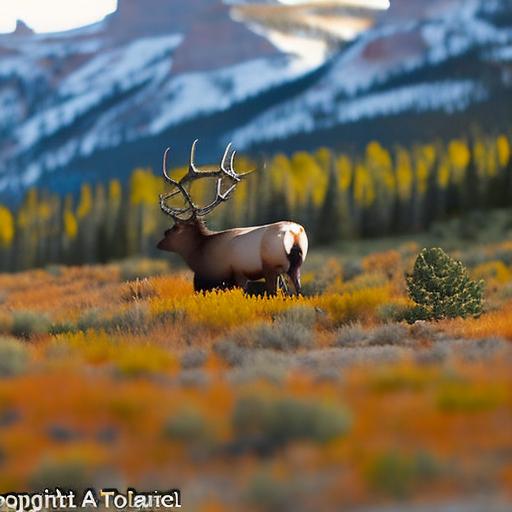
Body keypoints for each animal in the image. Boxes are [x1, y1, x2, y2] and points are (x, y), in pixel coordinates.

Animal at [155, 139, 308, 296]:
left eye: (175, 228)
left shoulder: (225, 275)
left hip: (271, 267)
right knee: (298, 292)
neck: (200, 253)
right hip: (295, 267)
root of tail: (294, 233)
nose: (160, 241)